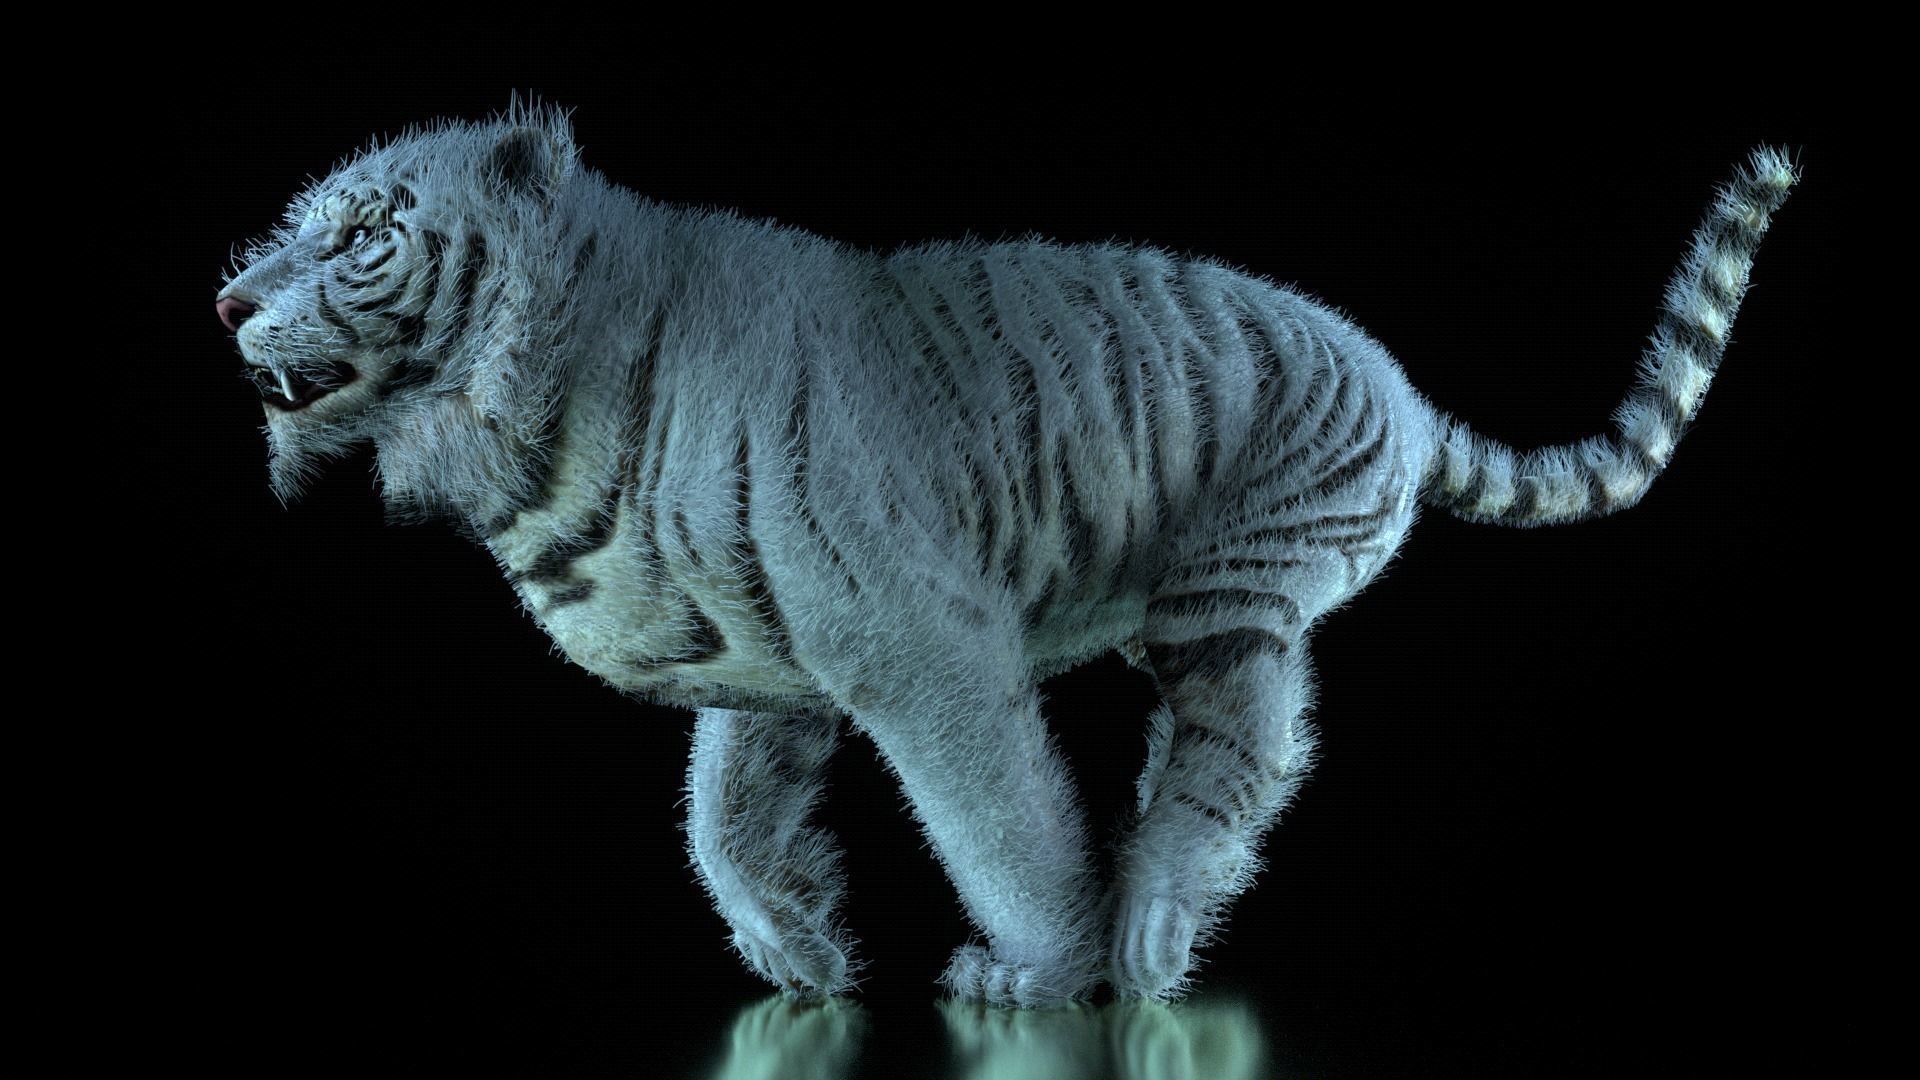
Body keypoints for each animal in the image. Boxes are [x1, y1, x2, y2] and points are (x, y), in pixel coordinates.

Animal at [216, 102, 1798, 1007]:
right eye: (289, 227)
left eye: (358, 237)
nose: (227, 297)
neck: (541, 416)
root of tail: (1401, 389)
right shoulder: (765, 660)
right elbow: (720, 821)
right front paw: (802, 954)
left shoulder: (917, 646)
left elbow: (999, 823)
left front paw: (1044, 972)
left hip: (1231, 593)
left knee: (1241, 748)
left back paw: (1151, 937)